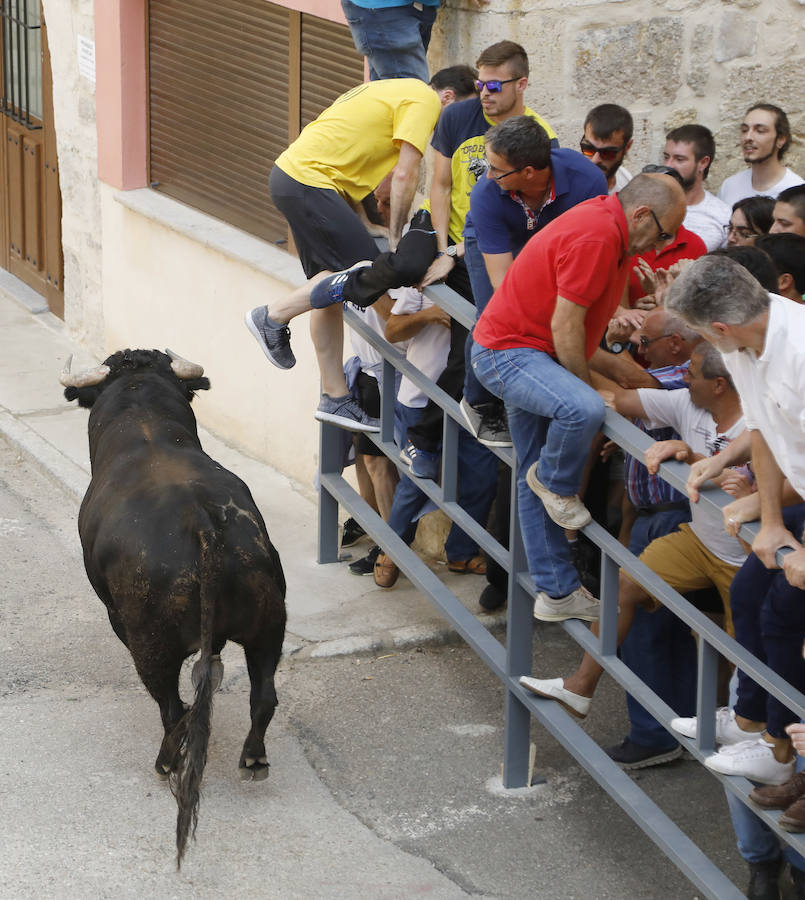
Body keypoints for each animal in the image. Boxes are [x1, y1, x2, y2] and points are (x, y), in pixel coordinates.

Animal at [64, 346, 288, 864]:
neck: (145, 421)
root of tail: (202, 523)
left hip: (150, 645)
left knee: (175, 706)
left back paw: (167, 762)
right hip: (270, 624)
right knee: (262, 696)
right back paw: (253, 759)